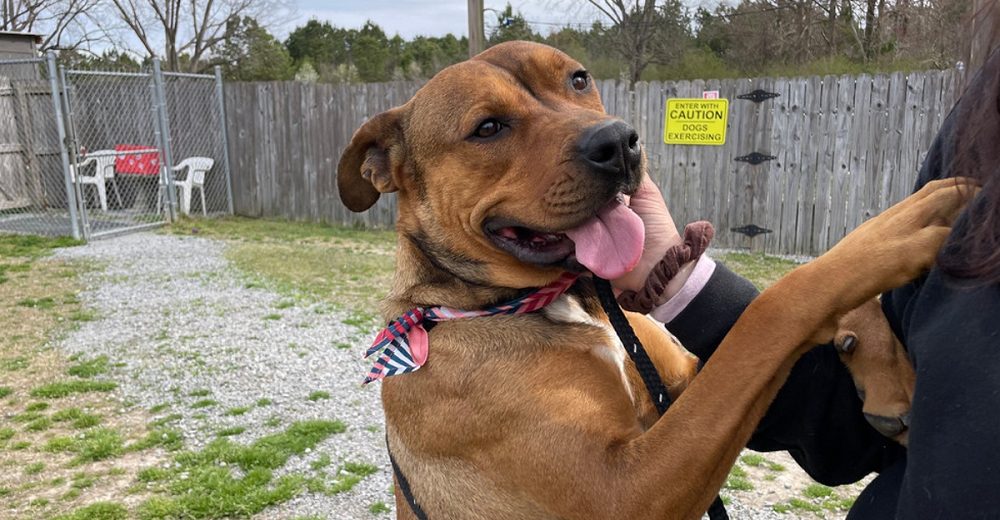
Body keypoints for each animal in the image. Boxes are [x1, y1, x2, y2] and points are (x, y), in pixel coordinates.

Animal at [338, 41, 968, 520]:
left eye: (578, 78)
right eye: (487, 127)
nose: (618, 141)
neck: (562, 300)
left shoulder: (680, 382)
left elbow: (763, 328)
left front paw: (885, 370)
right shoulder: (624, 491)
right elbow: (779, 304)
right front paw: (887, 236)